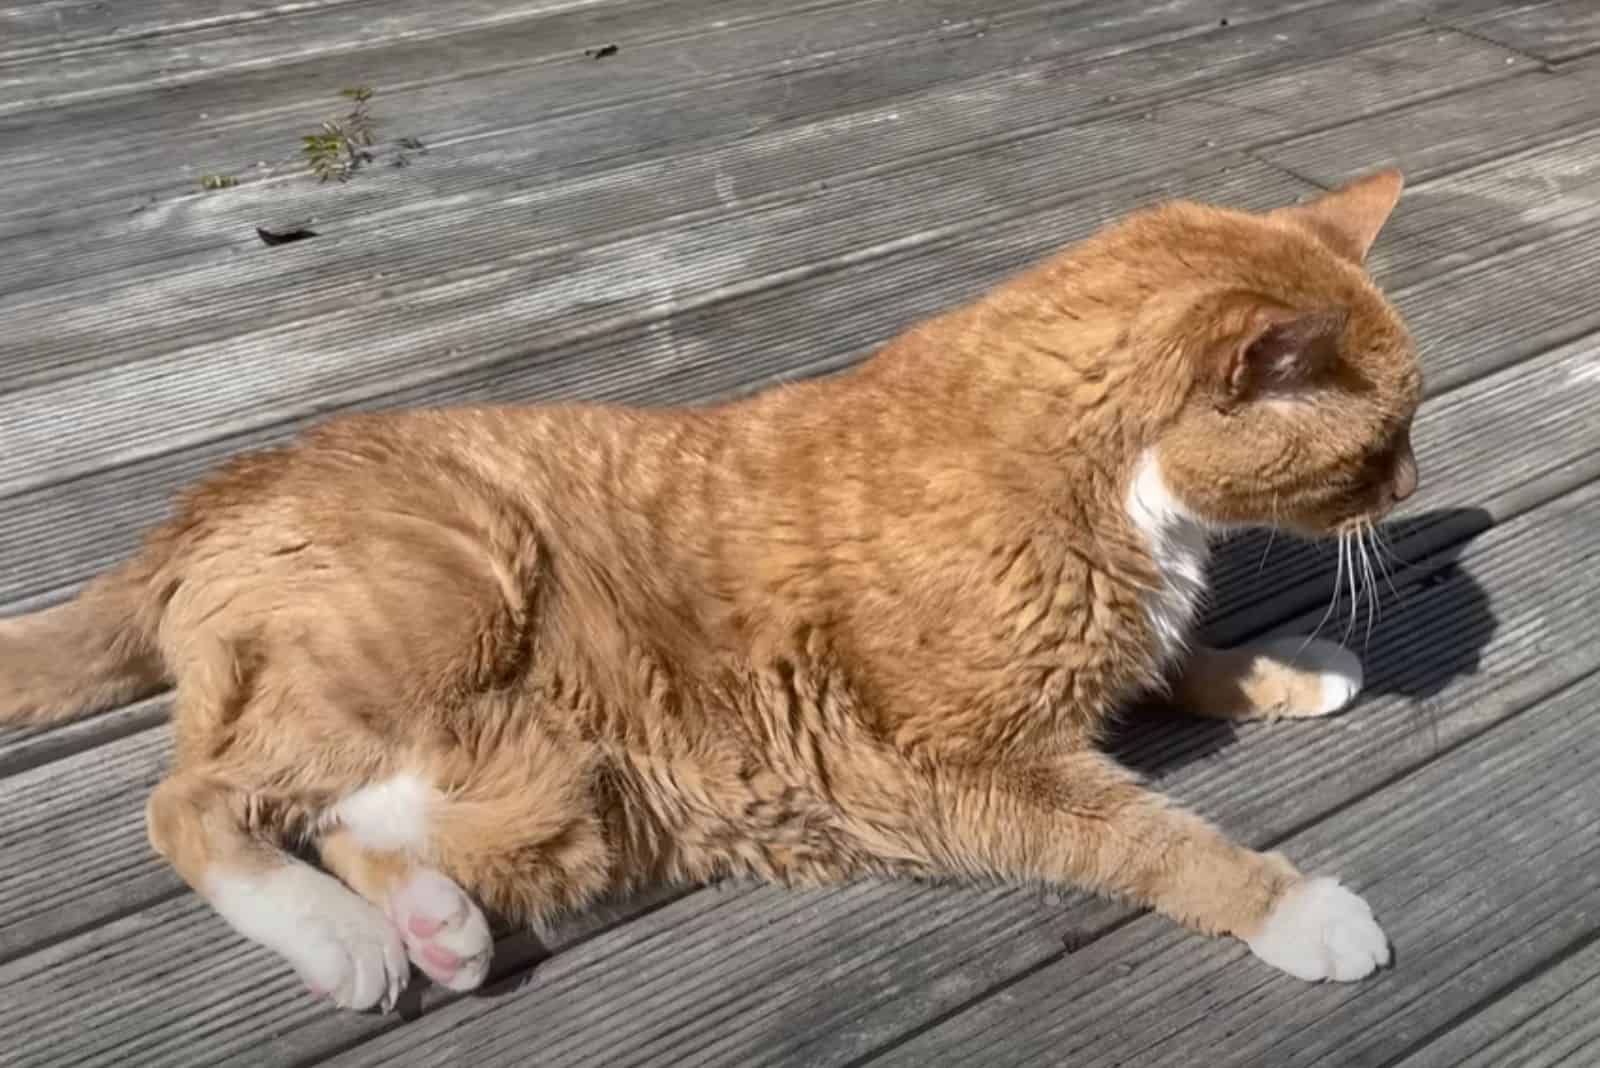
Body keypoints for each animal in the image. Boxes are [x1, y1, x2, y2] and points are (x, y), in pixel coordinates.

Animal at [0, 168, 1427, 1010]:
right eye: (1380, 440)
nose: (1412, 483)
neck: (1132, 502)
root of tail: (230, 480)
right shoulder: (967, 767)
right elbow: (1159, 840)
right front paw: (1299, 910)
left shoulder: (1112, 646)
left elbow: (1183, 653)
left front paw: (1290, 663)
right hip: (455, 602)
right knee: (199, 799)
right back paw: (346, 942)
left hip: (542, 803)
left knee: (357, 815)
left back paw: (435, 927)